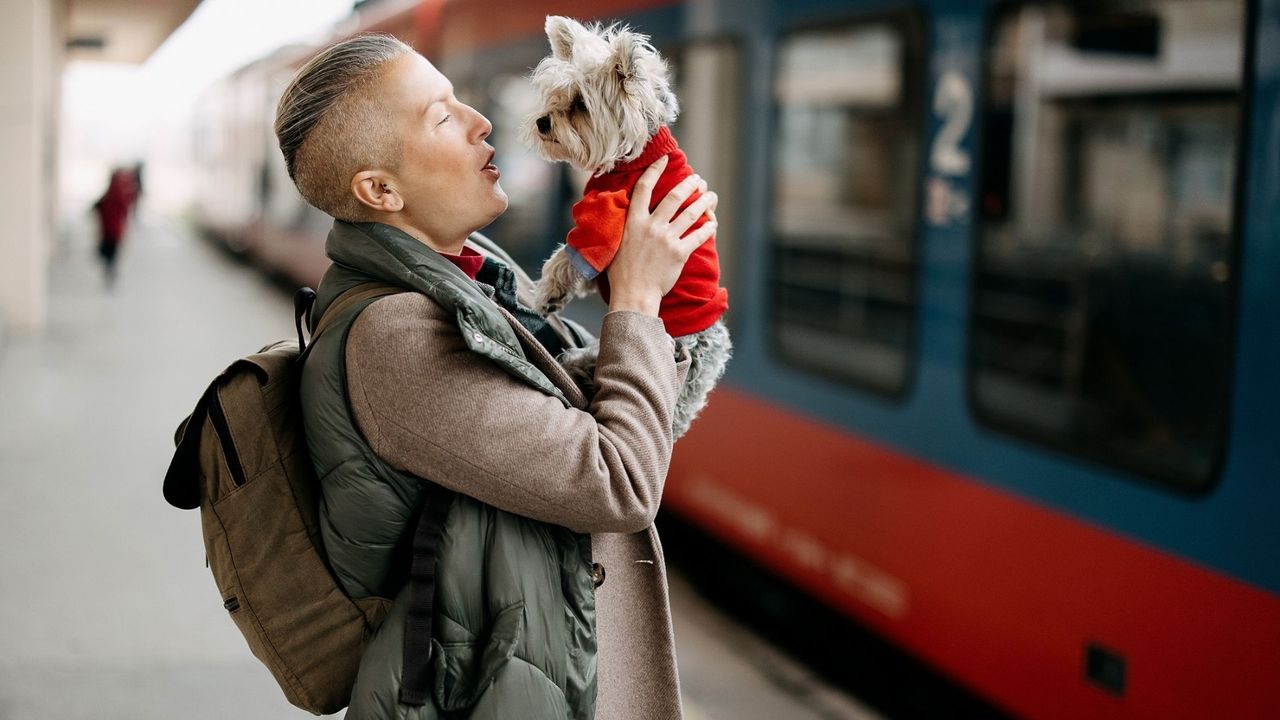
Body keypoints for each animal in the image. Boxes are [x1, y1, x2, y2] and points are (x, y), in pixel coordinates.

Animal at [522, 14, 732, 435]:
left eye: (580, 104)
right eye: (556, 95)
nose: (542, 122)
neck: (639, 151)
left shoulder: (606, 214)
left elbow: (568, 256)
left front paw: (547, 293)